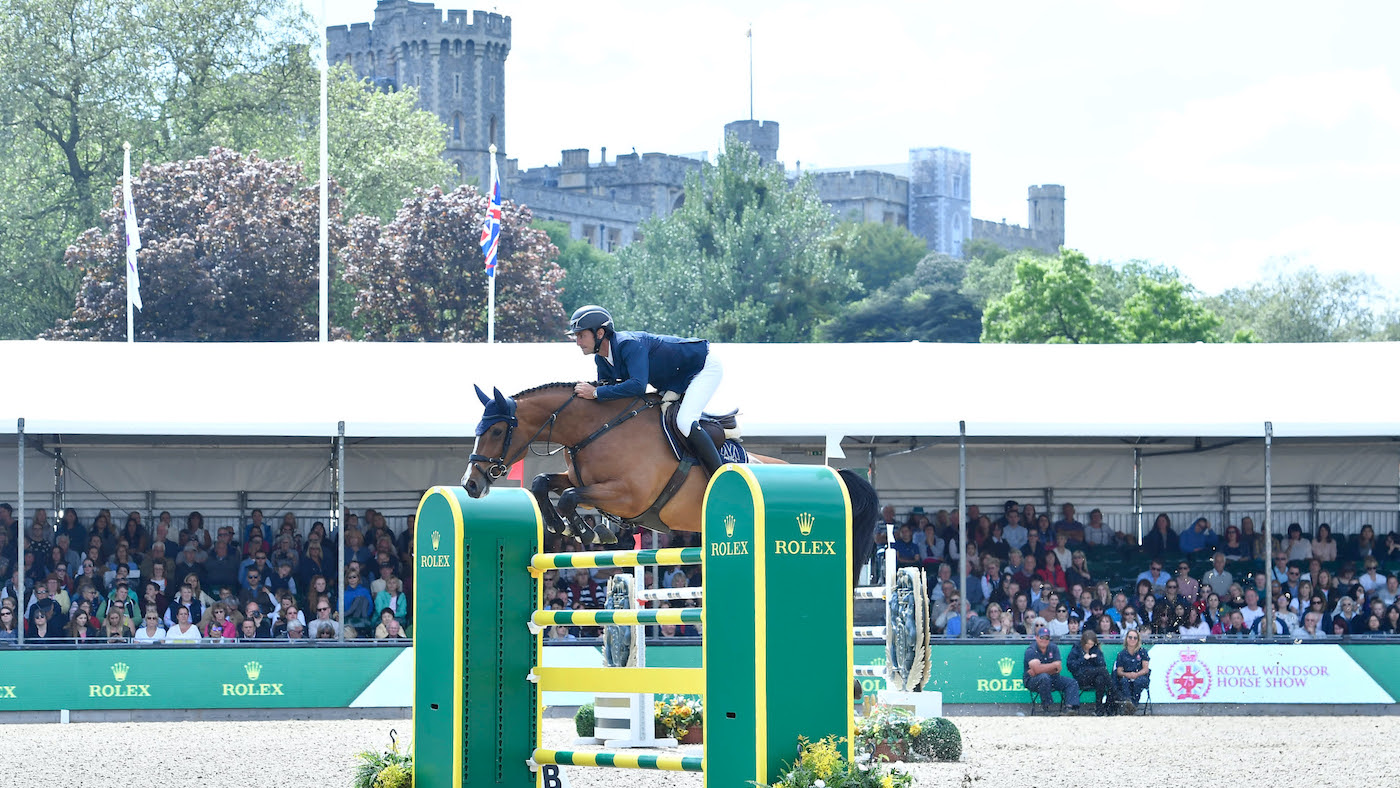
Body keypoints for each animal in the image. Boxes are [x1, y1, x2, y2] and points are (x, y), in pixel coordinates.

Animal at [461, 383, 879, 580]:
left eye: (495, 430)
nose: (470, 484)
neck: (597, 429)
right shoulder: (583, 481)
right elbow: (543, 483)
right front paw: (564, 525)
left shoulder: (628, 496)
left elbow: (569, 497)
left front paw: (587, 530)